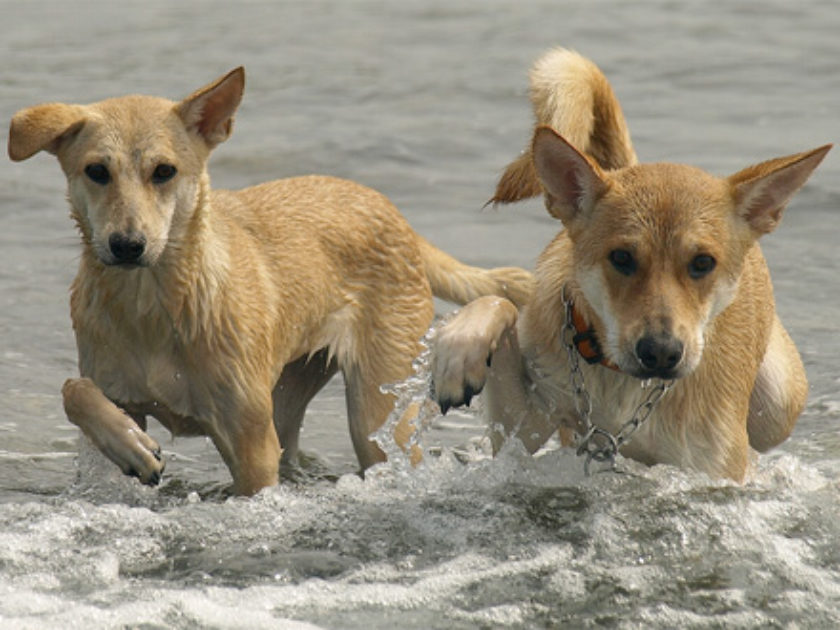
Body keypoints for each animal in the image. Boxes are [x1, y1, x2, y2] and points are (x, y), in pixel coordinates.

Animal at [434, 49, 832, 482]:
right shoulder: (521, 431)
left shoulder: (712, 471)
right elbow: (497, 303)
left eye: (703, 262)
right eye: (622, 258)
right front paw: (456, 358)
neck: (623, 386)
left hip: (779, 402)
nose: (660, 352)